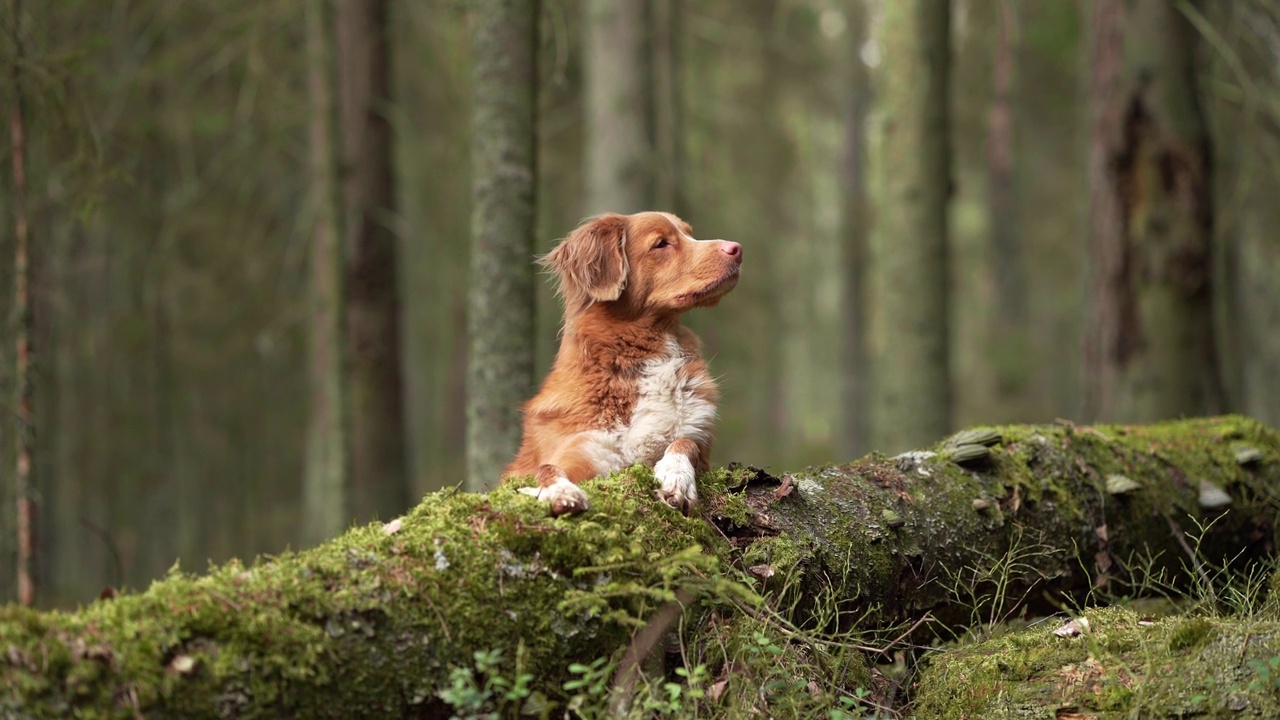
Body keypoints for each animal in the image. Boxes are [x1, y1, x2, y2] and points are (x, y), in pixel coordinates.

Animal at [506, 210, 747, 512]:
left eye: (689, 234)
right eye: (661, 243)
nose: (737, 248)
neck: (645, 351)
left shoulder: (697, 436)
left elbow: (683, 444)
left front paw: (676, 478)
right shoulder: (583, 450)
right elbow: (546, 469)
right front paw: (560, 491)